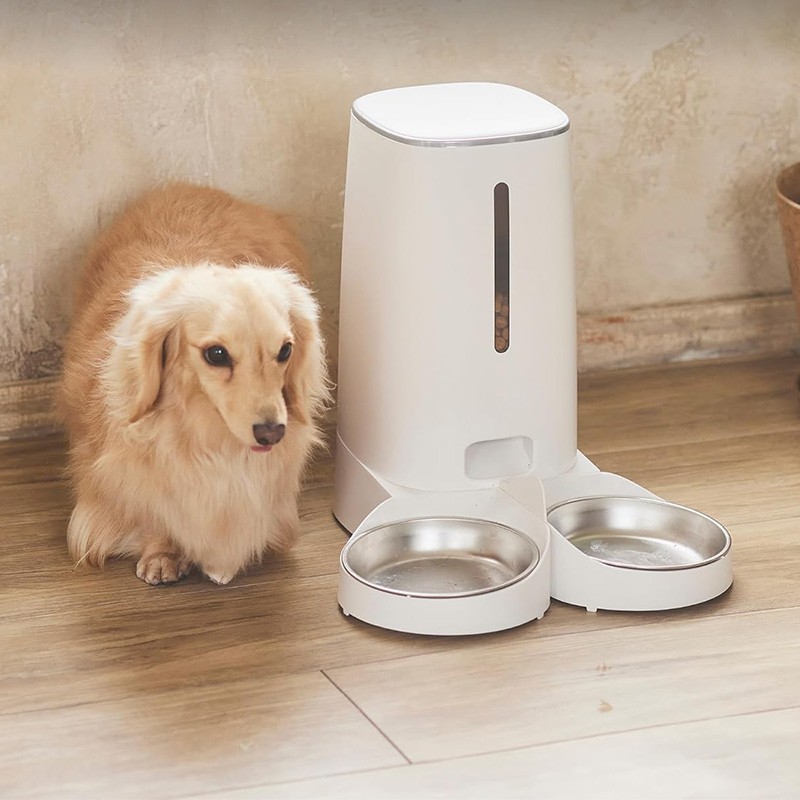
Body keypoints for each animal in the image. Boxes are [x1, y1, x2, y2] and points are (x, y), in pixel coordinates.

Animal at [58, 184, 329, 585]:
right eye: (216, 354)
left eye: (285, 350)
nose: (272, 432)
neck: (209, 444)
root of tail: (191, 186)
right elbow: (153, 510)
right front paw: (163, 553)